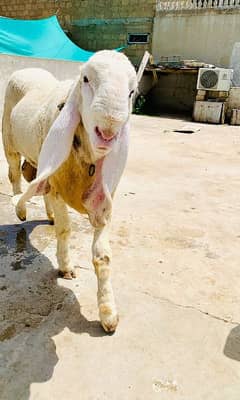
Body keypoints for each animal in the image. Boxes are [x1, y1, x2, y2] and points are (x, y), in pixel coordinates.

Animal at [1, 50, 137, 332]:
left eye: (132, 91)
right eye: (85, 79)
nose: (107, 132)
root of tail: (29, 69)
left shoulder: (104, 201)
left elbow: (103, 257)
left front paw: (108, 313)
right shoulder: (57, 187)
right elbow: (65, 231)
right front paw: (65, 266)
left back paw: (48, 214)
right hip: (8, 139)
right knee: (15, 173)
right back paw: (19, 207)